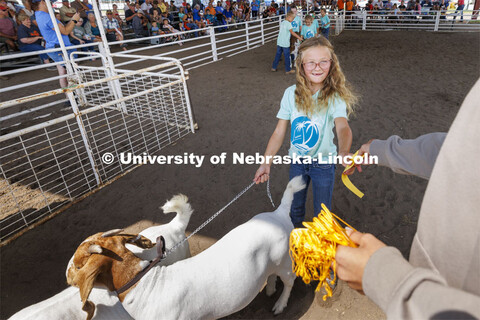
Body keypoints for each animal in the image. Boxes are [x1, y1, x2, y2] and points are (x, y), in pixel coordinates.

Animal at [66, 176, 306, 320]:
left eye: (78, 265)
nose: (66, 276)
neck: (145, 284)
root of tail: (279, 213)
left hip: (286, 261)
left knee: (290, 282)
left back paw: (280, 304)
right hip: (273, 262)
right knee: (272, 274)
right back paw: (270, 289)